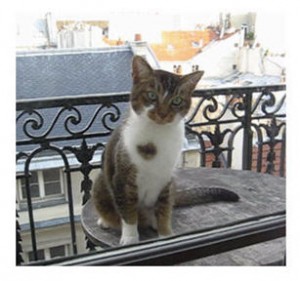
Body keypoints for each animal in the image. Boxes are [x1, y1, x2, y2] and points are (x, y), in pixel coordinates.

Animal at [91, 55, 239, 244]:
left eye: (176, 100)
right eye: (152, 95)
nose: (162, 113)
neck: (157, 134)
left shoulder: (166, 180)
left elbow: (163, 210)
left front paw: (165, 234)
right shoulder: (123, 180)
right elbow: (128, 212)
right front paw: (130, 238)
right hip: (101, 184)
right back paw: (106, 220)